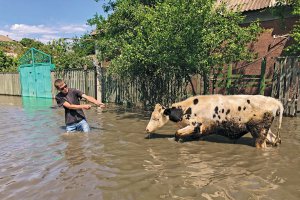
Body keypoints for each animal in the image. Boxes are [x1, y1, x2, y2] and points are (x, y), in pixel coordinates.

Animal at [145, 94, 284, 148]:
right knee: (276, 140)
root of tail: (275, 101)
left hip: (259, 132)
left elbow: (177, 133)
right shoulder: (200, 131)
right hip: (266, 131)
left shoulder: (195, 125)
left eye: (156, 118)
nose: (147, 129)